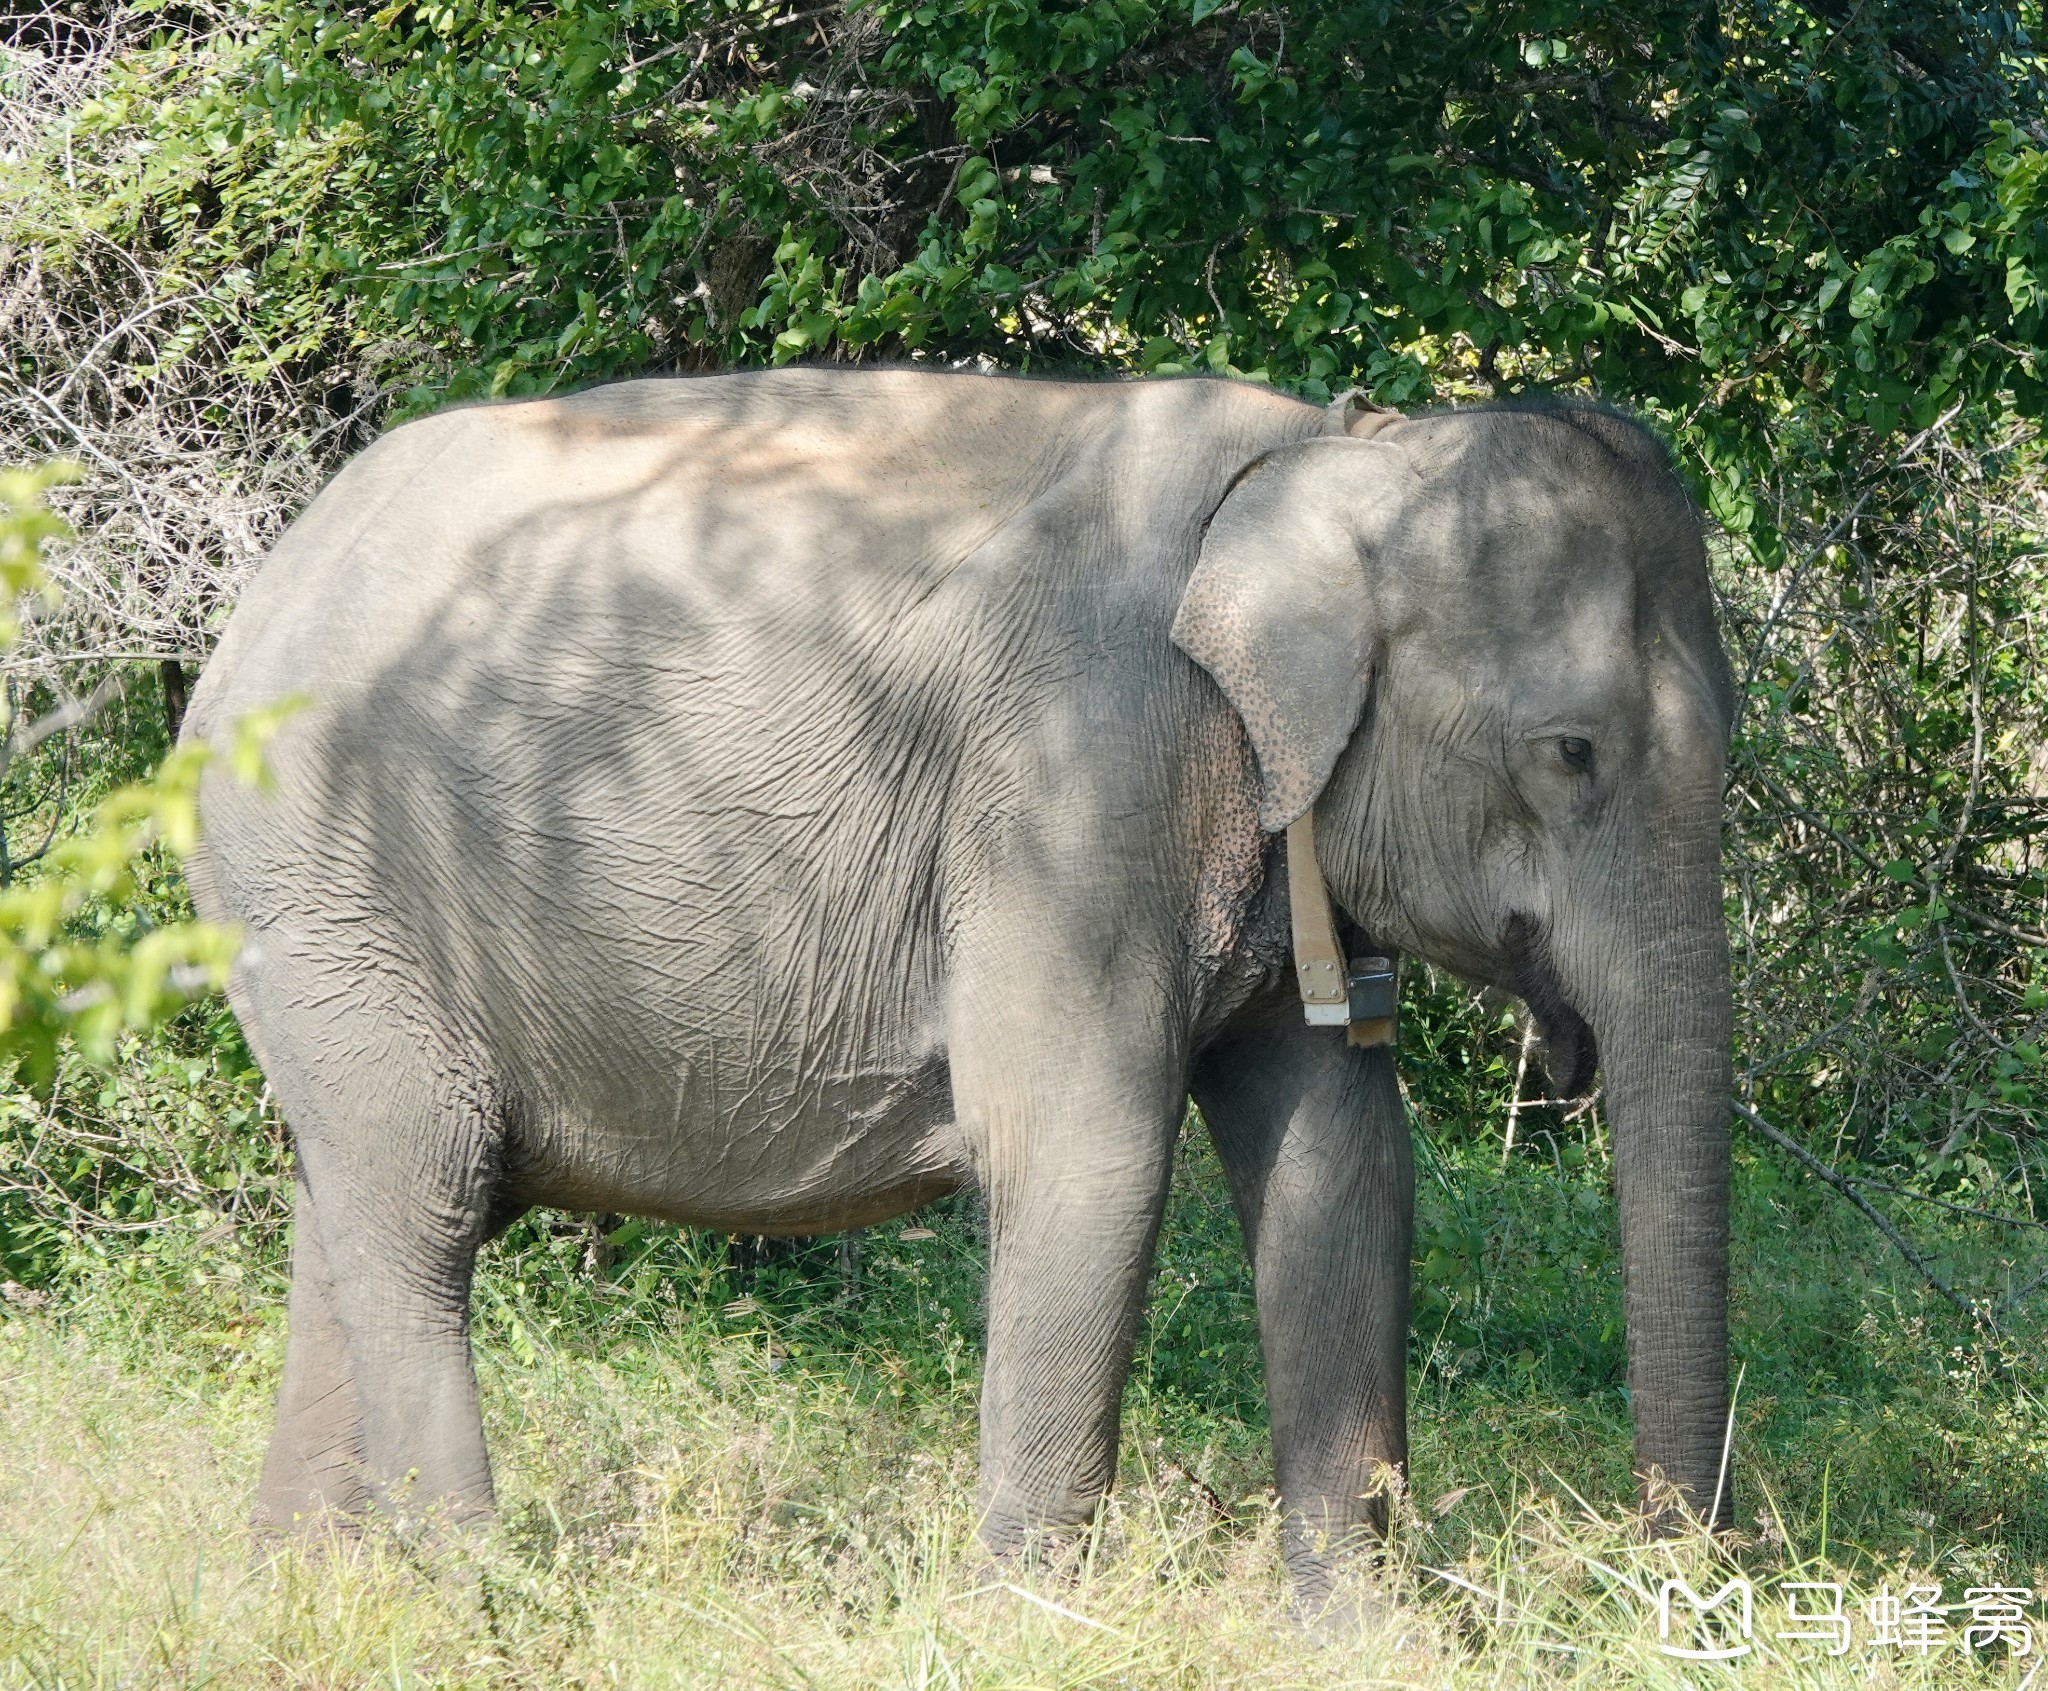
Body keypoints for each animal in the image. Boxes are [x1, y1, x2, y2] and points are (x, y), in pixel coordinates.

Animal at [184, 368, 1736, 1596]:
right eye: (1569, 753)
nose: (1678, 1581)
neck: (1338, 452)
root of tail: (255, 603)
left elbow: (1342, 1164)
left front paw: (1359, 1636)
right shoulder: (1074, 778)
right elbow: (1088, 1156)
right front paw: (1032, 1628)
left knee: (361, 1203)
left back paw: (297, 1599)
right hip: (322, 889)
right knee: (424, 1199)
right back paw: (475, 1603)